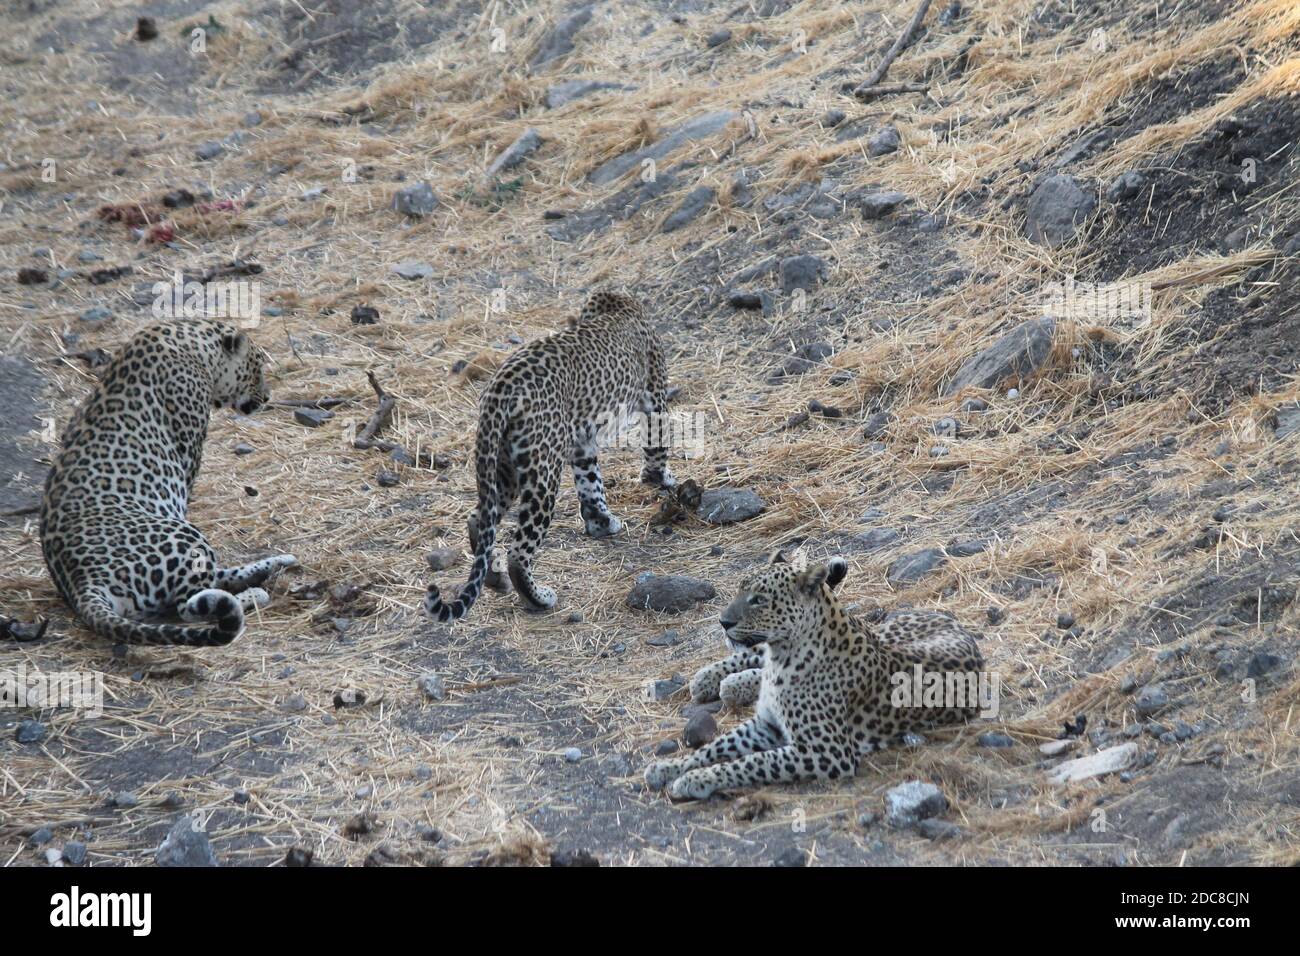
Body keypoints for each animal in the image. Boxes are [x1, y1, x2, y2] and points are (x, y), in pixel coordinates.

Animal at [40, 317, 297, 647]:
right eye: (257, 367)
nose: (266, 397)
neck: (196, 344)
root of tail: (83, 580)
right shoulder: (188, 453)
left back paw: (278, 562)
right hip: (182, 534)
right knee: (189, 606)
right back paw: (254, 593)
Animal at [426, 290, 676, 621]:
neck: (613, 307)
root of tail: (498, 391)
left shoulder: (582, 442)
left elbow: (591, 484)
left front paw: (601, 523)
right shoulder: (655, 394)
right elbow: (657, 445)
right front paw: (660, 478)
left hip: (503, 466)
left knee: (479, 519)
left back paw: (495, 580)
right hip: (541, 472)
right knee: (518, 552)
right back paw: (539, 598)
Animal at [644, 548, 977, 806]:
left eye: (759, 599)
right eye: (740, 589)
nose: (723, 622)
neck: (784, 658)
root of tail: (952, 621)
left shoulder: (826, 751)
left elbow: (750, 762)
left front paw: (695, 779)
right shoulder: (766, 724)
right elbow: (715, 747)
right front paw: (668, 768)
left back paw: (730, 685)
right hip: (886, 631)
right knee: (752, 655)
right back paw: (710, 679)